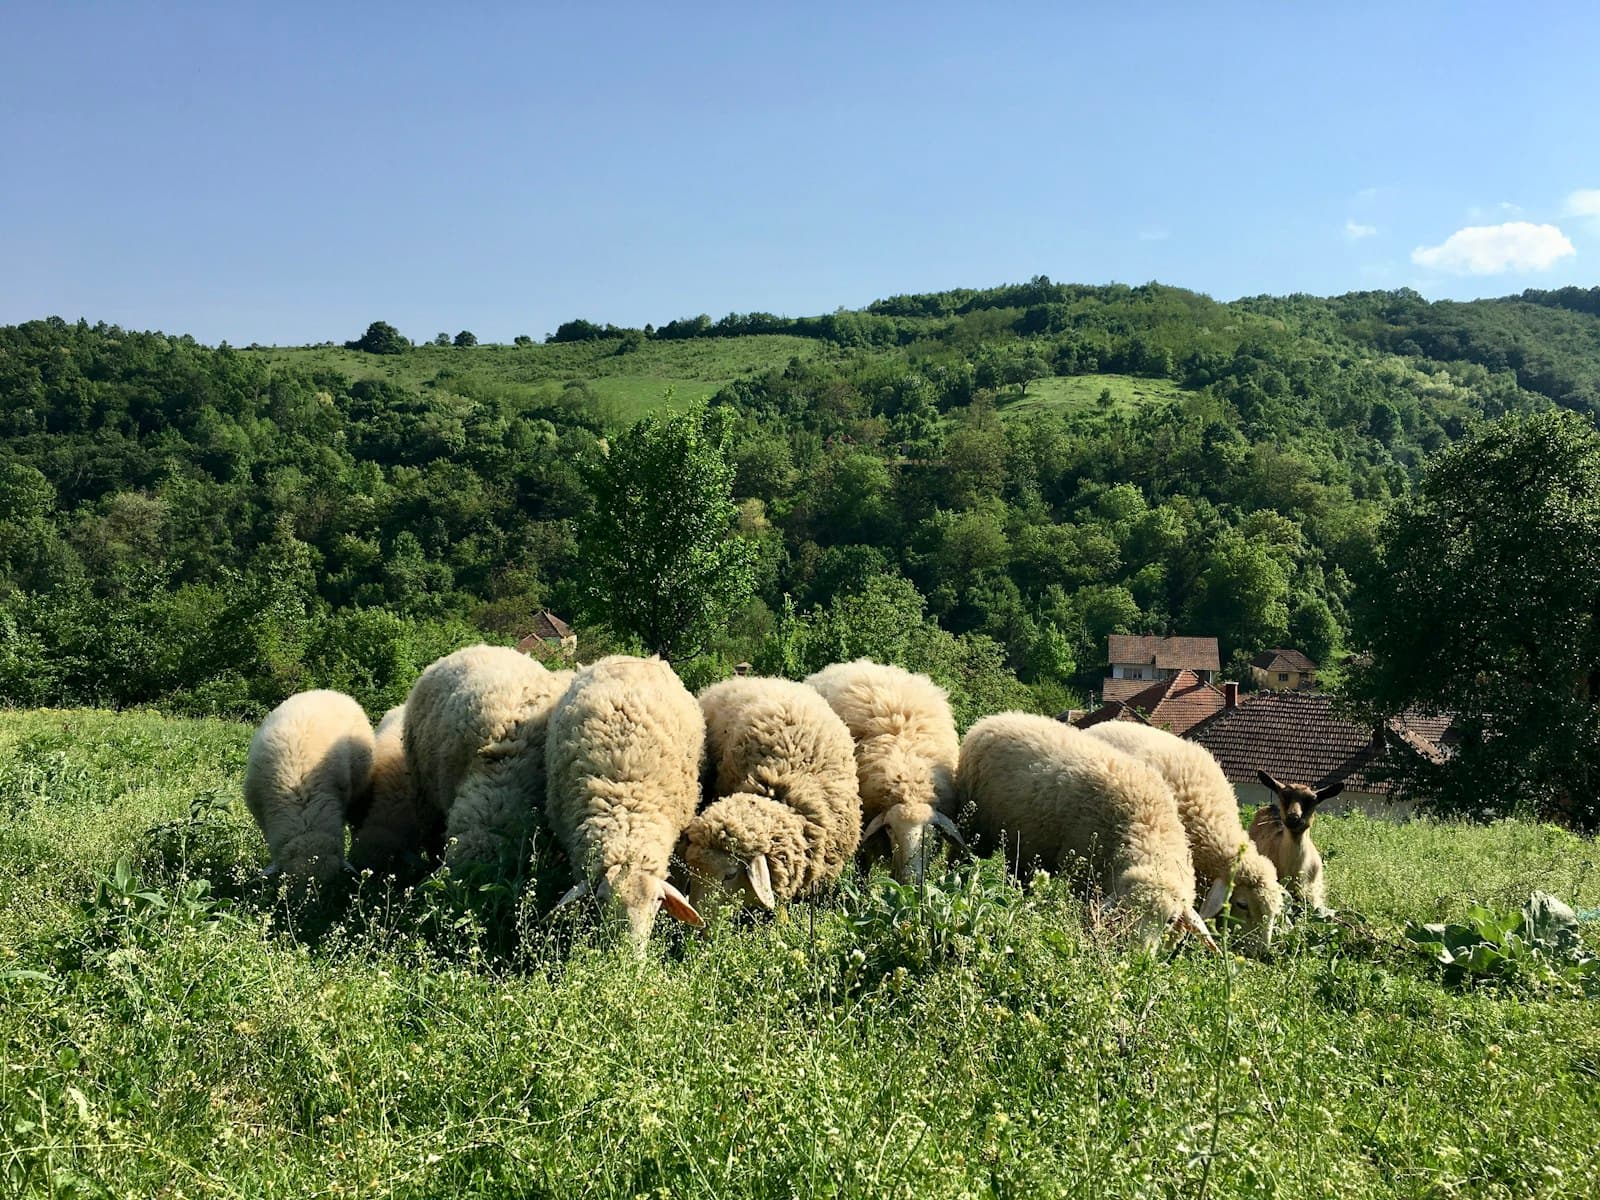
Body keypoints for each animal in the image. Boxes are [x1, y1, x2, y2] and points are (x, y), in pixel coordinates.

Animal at [957, 711, 1216, 951]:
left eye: (1171, 920)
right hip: (975, 827)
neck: (1147, 825)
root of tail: (995, 718)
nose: (1139, 956)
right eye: (1127, 913)